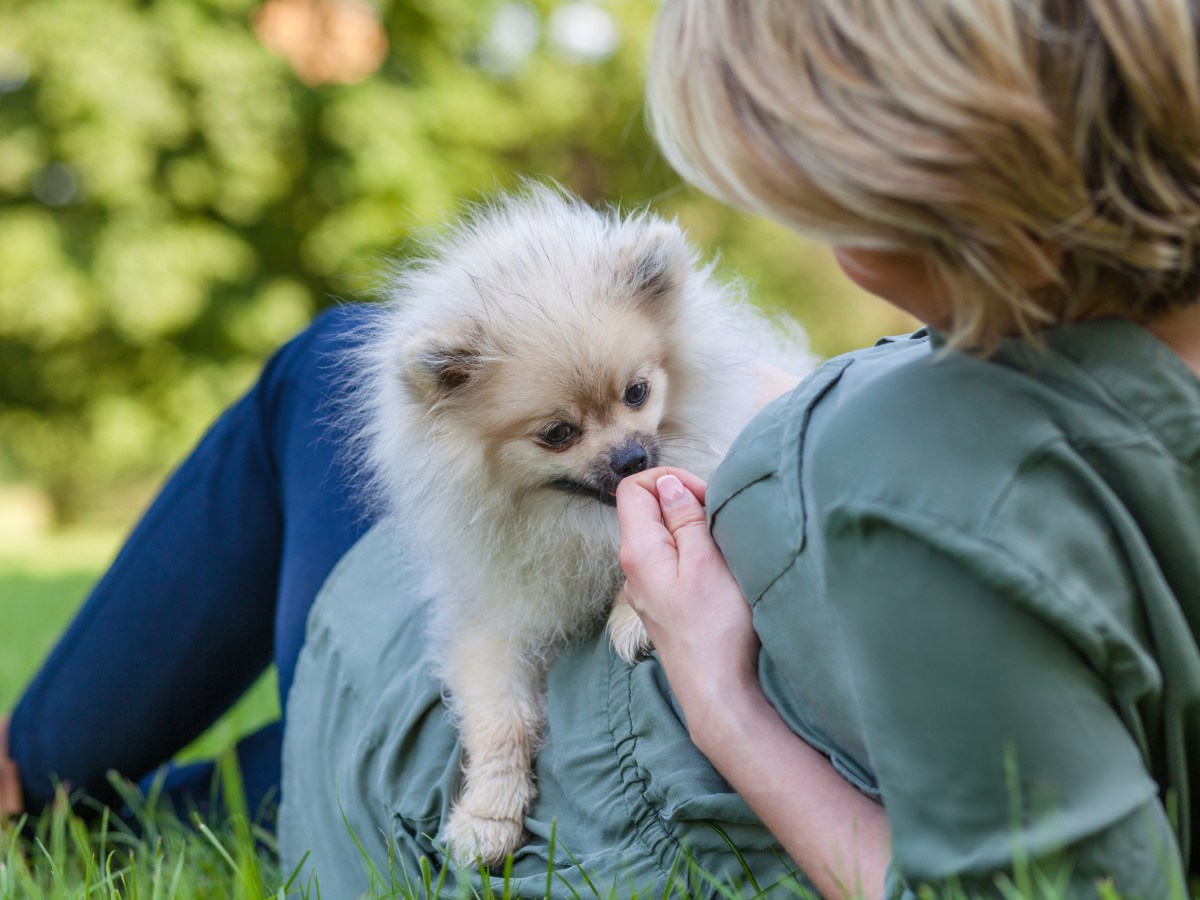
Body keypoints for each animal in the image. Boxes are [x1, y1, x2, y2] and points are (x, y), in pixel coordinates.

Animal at [355, 188, 806, 868]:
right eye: (558, 433)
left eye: (638, 392)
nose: (632, 460)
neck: (578, 516)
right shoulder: (492, 622)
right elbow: (501, 719)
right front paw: (487, 815)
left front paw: (632, 615)